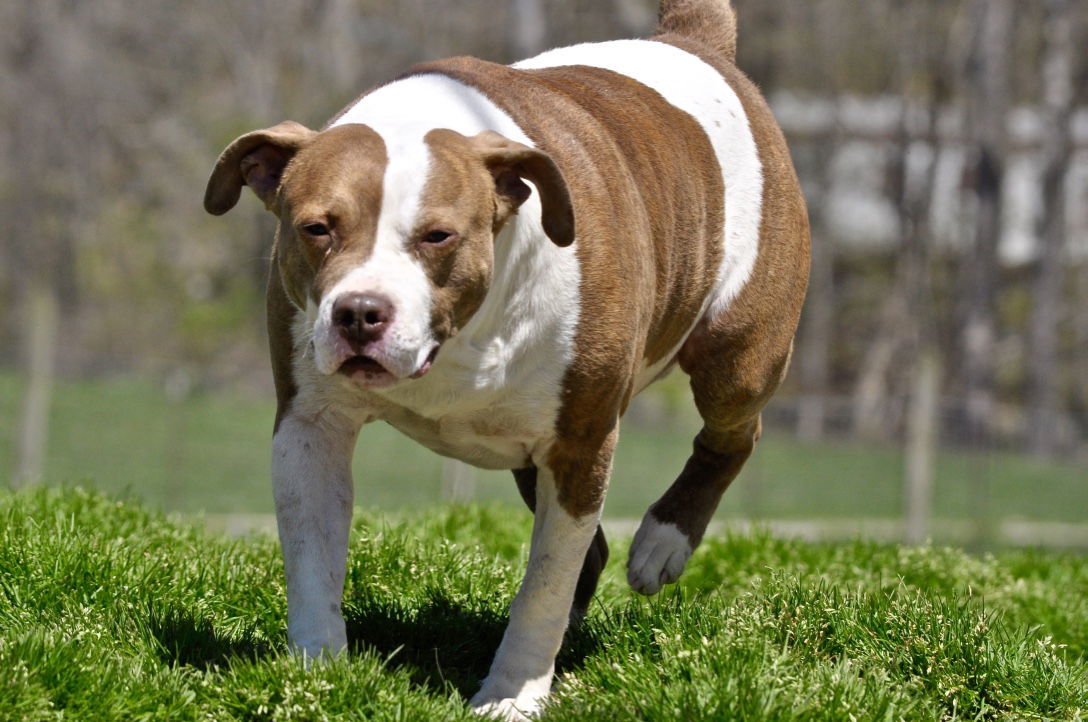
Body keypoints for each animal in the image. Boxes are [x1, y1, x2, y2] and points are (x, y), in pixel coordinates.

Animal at [202, 0, 809, 717]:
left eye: (438, 236)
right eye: (316, 228)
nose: (359, 313)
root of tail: (693, 41)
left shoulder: (582, 444)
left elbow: (544, 585)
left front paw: (512, 694)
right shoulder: (310, 425)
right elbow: (312, 560)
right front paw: (318, 674)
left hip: (737, 357)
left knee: (733, 435)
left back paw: (663, 541)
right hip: (530, 452)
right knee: (590, 549)